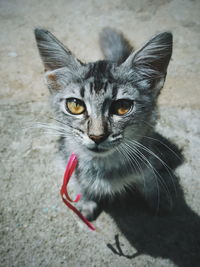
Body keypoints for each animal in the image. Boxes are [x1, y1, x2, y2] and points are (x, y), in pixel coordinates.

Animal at [34, 27, 178, 222]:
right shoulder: (67, 156)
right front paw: (85, 200)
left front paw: (158, 196)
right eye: (75, 105)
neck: (104, 166)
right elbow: (78, 181)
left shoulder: (145, 158)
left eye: (123, 107)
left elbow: (149, 175)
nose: (96, 136)